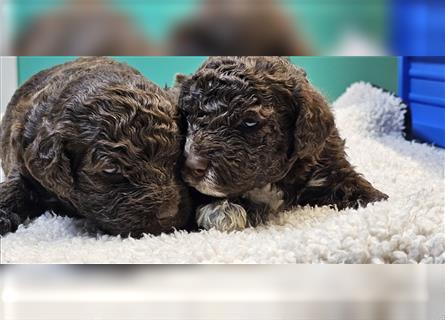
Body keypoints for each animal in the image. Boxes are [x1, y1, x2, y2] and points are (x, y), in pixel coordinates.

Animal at [177, 56, 386, 231]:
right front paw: (224, 209)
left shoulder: (329, 166)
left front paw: (378, 201)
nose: (192, 165)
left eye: (250, 122)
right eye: (188, 115)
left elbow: (354, 185)